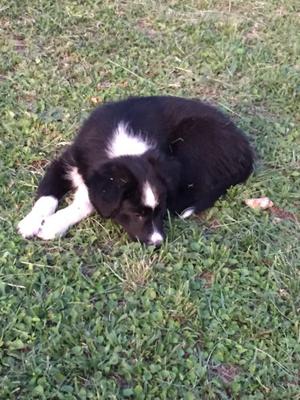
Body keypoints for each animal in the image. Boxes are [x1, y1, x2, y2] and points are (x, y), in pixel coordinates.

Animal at [17, 96, 254, 245]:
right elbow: (46, 197)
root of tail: (248, 152)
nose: (157, 243)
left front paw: (54, 225)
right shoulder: (66, 162)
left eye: (158, 211)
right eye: (137, 215)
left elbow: (85, 203)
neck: (123, 147)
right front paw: (30, 223)